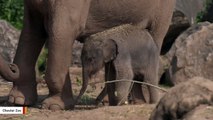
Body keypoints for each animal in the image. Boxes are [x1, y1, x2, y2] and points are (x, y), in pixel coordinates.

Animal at [7, 0, 175, 110]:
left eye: (90, 59)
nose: (12, 67)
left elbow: (63, 30)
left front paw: (53, 106)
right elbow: (31, 30)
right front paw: (18, 100)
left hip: (163, 11)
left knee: (156, 37)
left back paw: (141, 102)